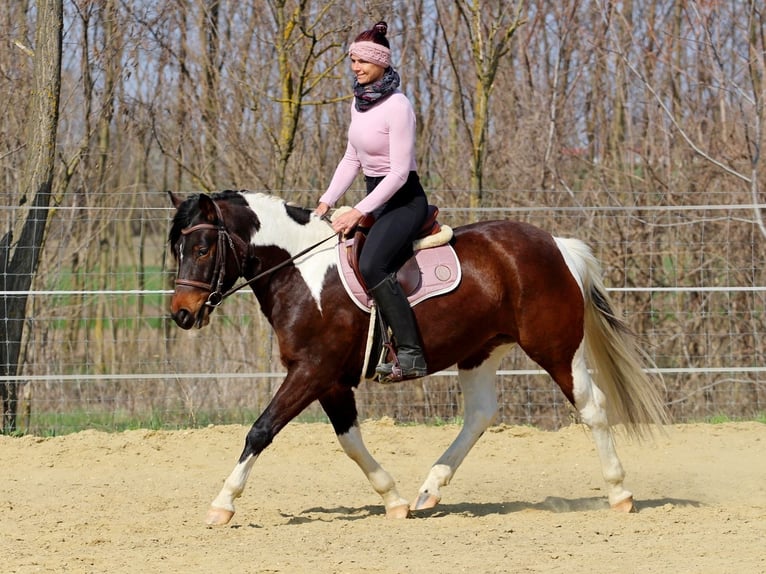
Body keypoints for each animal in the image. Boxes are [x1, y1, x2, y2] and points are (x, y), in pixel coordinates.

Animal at [167, 189, 668, 526]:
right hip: (481, 349)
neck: (303, 271)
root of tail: (555, 244)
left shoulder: (312, 371)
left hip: (555, 347)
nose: (181, 314)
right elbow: (350, 442)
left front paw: (222, 504)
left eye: (202, 248)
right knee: (480, 414)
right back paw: (430, 490)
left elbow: (261, 430)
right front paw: (394, 500)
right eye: (178, 249)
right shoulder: (330, 380)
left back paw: (619, 493)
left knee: (592, 407)